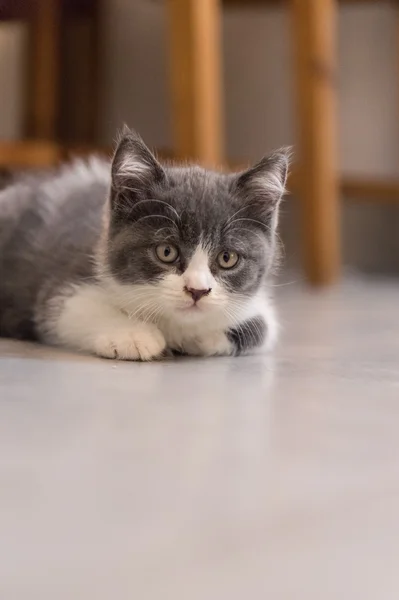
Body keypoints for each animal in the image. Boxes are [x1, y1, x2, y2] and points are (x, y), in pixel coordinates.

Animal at [0, 128, 290, 358]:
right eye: (166, 251)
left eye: (227, 257)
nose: (197, 291)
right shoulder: (71, 273)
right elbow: (68, 306)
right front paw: (132, 335)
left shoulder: (258, 307)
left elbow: (262, 327)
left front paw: (195, 335)